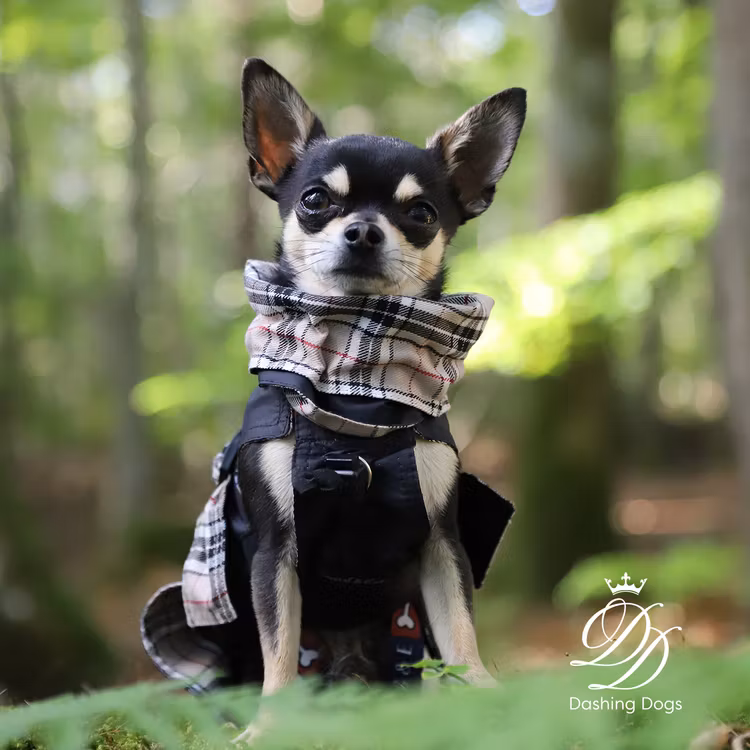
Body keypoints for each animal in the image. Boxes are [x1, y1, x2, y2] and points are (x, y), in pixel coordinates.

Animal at [236, 58, 526, 708]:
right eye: (315, 200)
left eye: (421, 215)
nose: (365, 232)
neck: (358, 389)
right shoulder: (273, 551)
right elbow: (277, 648)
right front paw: (271, 718)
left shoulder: (441, 544)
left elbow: (460, 626)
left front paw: (479, 685)